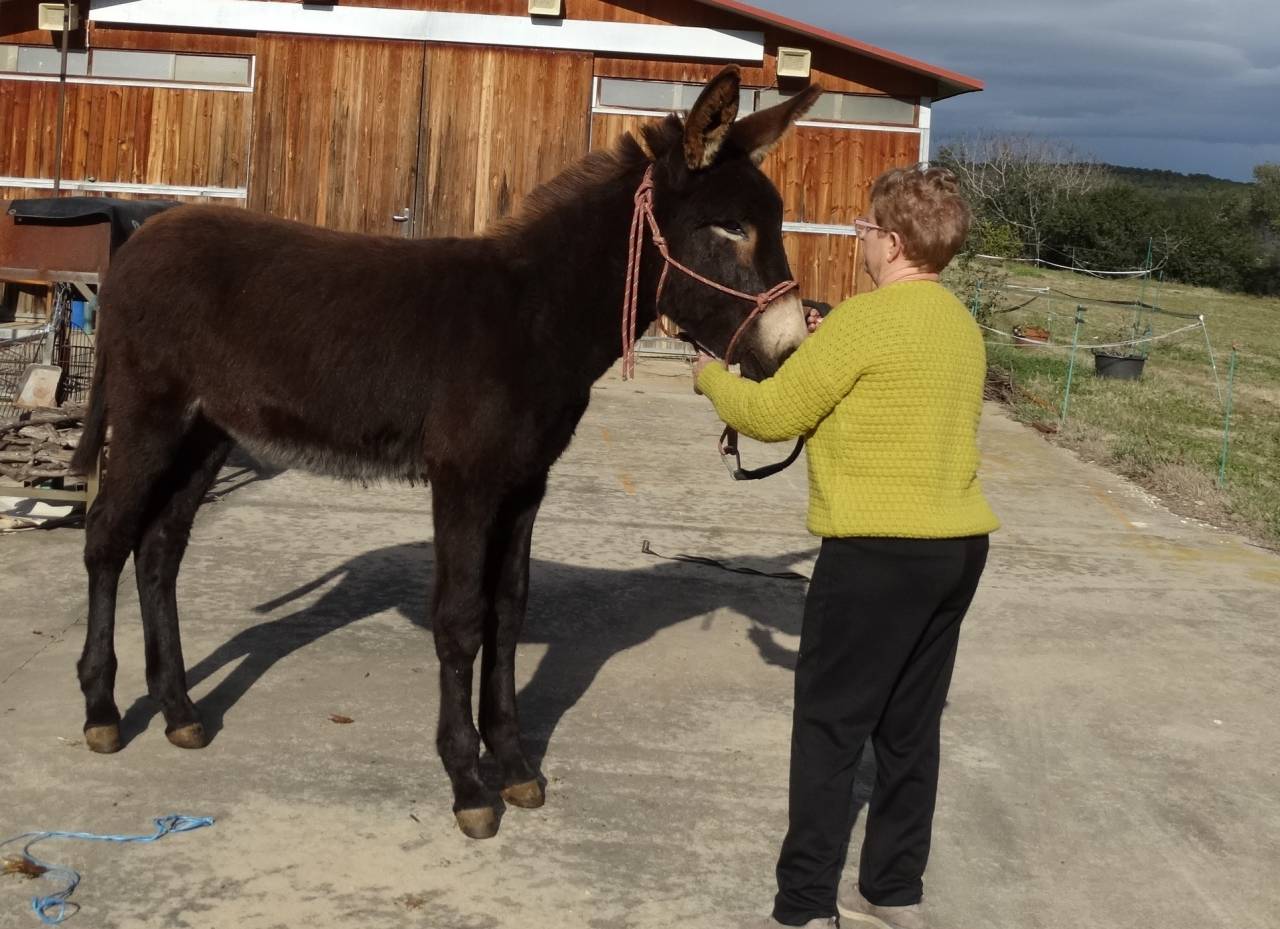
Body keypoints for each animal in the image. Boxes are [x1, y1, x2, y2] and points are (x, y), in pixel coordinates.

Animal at [68, 65, 820, 838]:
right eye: (728, 227)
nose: (793, 351)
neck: (534, 315)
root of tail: (144, 237)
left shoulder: (525, 481)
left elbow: (508, 612)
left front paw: (514, 766)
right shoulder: (464, 478)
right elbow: (460, 619)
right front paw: (468, 784)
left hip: (207, 431)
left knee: (159, 549)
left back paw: (180, 711)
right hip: (149, 413)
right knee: (107, 538)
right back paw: (103, 710)